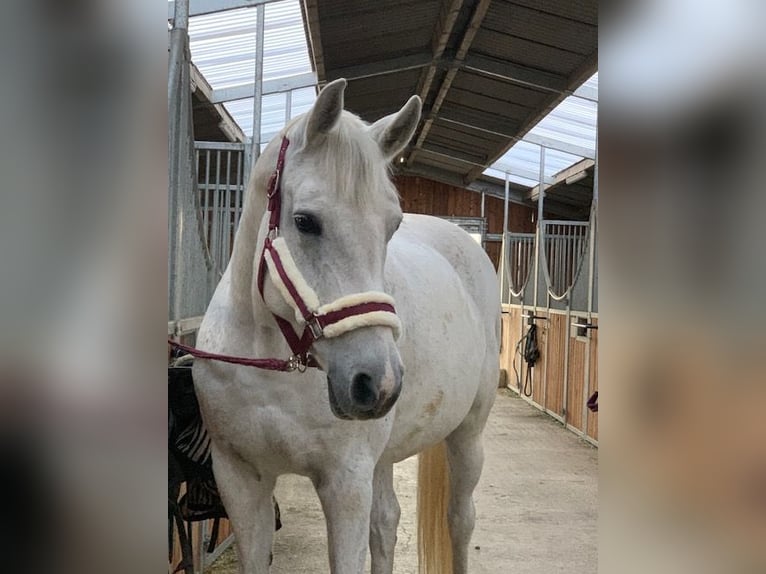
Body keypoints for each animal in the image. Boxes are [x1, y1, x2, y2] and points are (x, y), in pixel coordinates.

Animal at [195, 81, 500, 574]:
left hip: (467, 434)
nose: (377, 381)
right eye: (305, 221)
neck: (271, 365)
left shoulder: (345, 483)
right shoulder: (240, 480)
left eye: (392, 225)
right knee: (387, 522)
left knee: (460, 519)